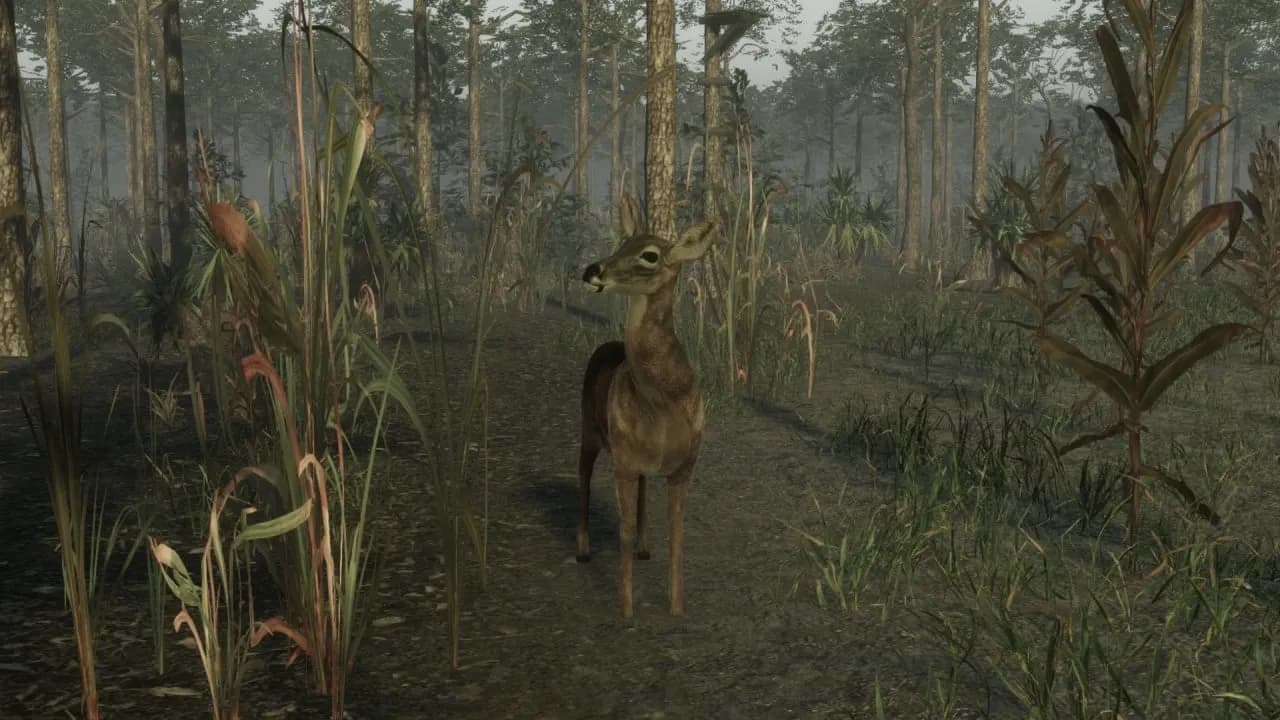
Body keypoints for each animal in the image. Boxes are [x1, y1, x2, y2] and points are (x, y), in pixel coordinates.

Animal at [576, 192, 716, 619]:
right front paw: (625, 611)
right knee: (583, 476)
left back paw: (644, 547)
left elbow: (677, 535)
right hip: (589, 430)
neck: (663, 405)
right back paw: (583, 550)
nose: (592, 270)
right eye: (622, 243)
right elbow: (619, 535)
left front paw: (677, 608)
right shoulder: (622, 460)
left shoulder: (685, 467)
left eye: (650, 255)